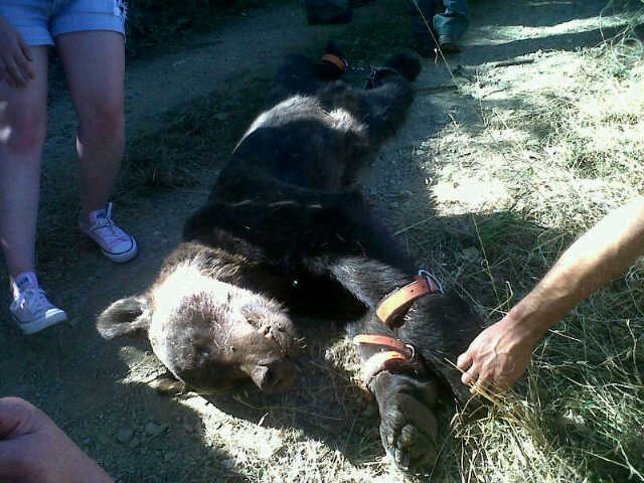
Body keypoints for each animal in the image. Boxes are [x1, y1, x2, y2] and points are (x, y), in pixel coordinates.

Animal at [97, 43, 484, 469]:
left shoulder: (289, 218)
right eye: (230, 381)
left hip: (354, 117)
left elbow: (386, 285)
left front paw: (461, 362)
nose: (271, 375)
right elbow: (367, 319)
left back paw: (395, 65)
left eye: (202, 344)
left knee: (388, 95)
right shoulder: (313, 293)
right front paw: (405, 413)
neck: (260, 271)